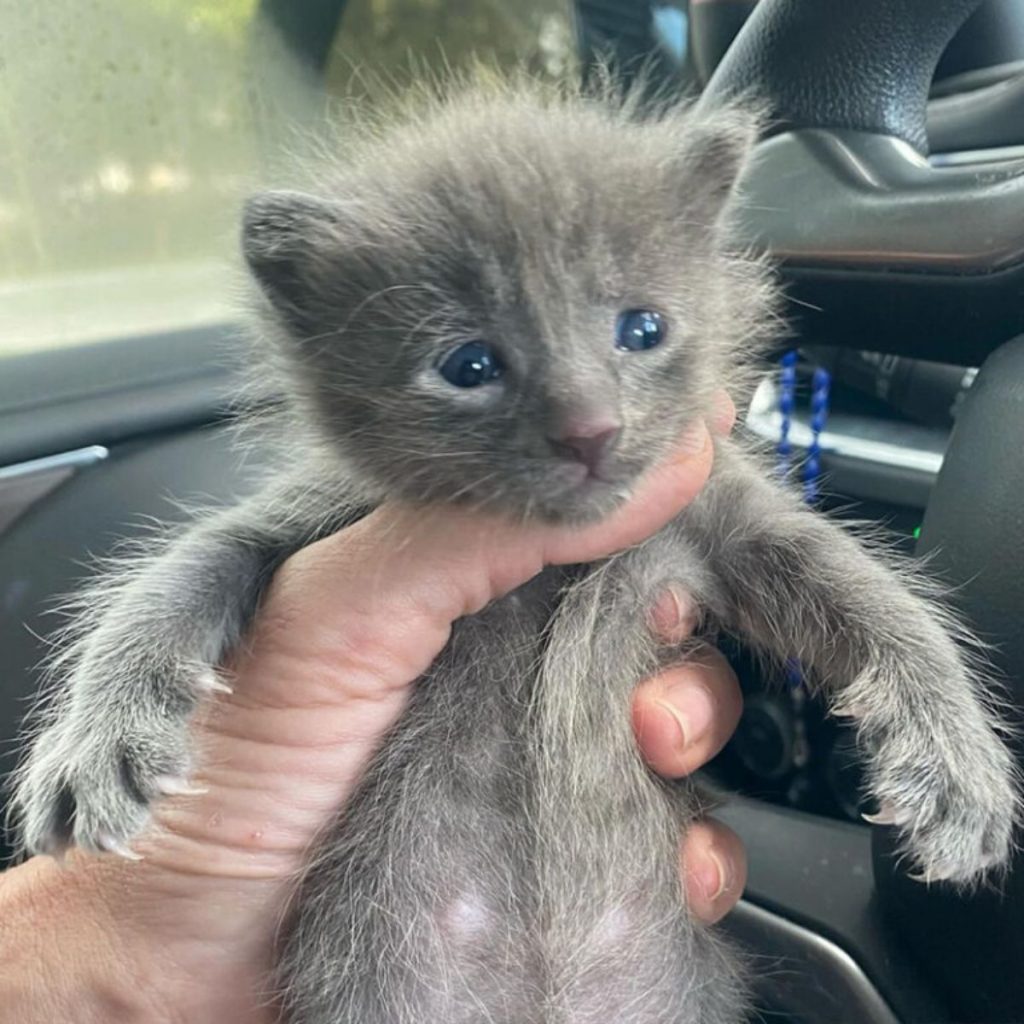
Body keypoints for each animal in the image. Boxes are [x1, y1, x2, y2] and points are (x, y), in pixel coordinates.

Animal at [8, 79, 1015, 1024]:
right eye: (469, 365)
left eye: (642, 328)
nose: (591, 430)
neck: (558, 556)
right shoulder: (319, 517)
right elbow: (185, 570)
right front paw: (100, 743)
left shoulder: (723, 521)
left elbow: (873, 598)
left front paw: (957, 769)